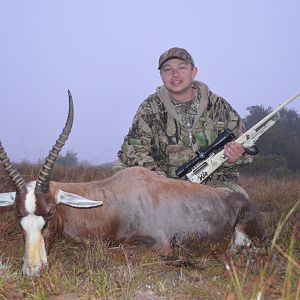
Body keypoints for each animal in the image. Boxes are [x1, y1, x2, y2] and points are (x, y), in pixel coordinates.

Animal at [0, 91, 264, 276]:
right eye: (17, 215)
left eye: (50, 213)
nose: (32, 270)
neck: (114, 199)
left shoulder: (159, 244)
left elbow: (125, 252)